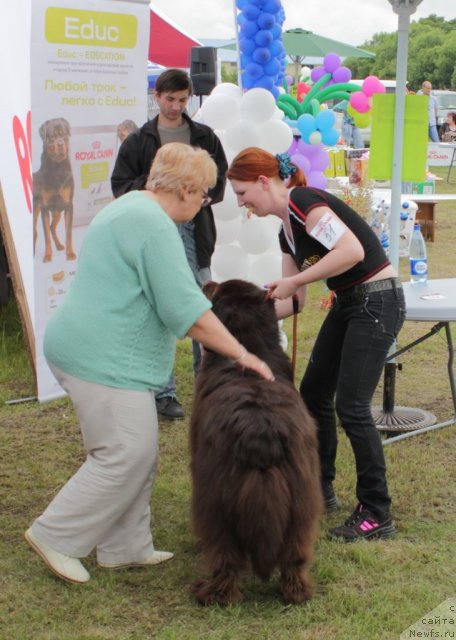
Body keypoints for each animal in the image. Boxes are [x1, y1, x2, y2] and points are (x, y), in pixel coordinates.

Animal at [190, 280, 324, 604]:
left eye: (215, 291)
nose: (205, 281)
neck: (249, 346)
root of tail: (262, 435)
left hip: (215, 501)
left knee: (225, 557)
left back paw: (213, 594)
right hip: (302, 501)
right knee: (294, 556)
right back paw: (297, 591)